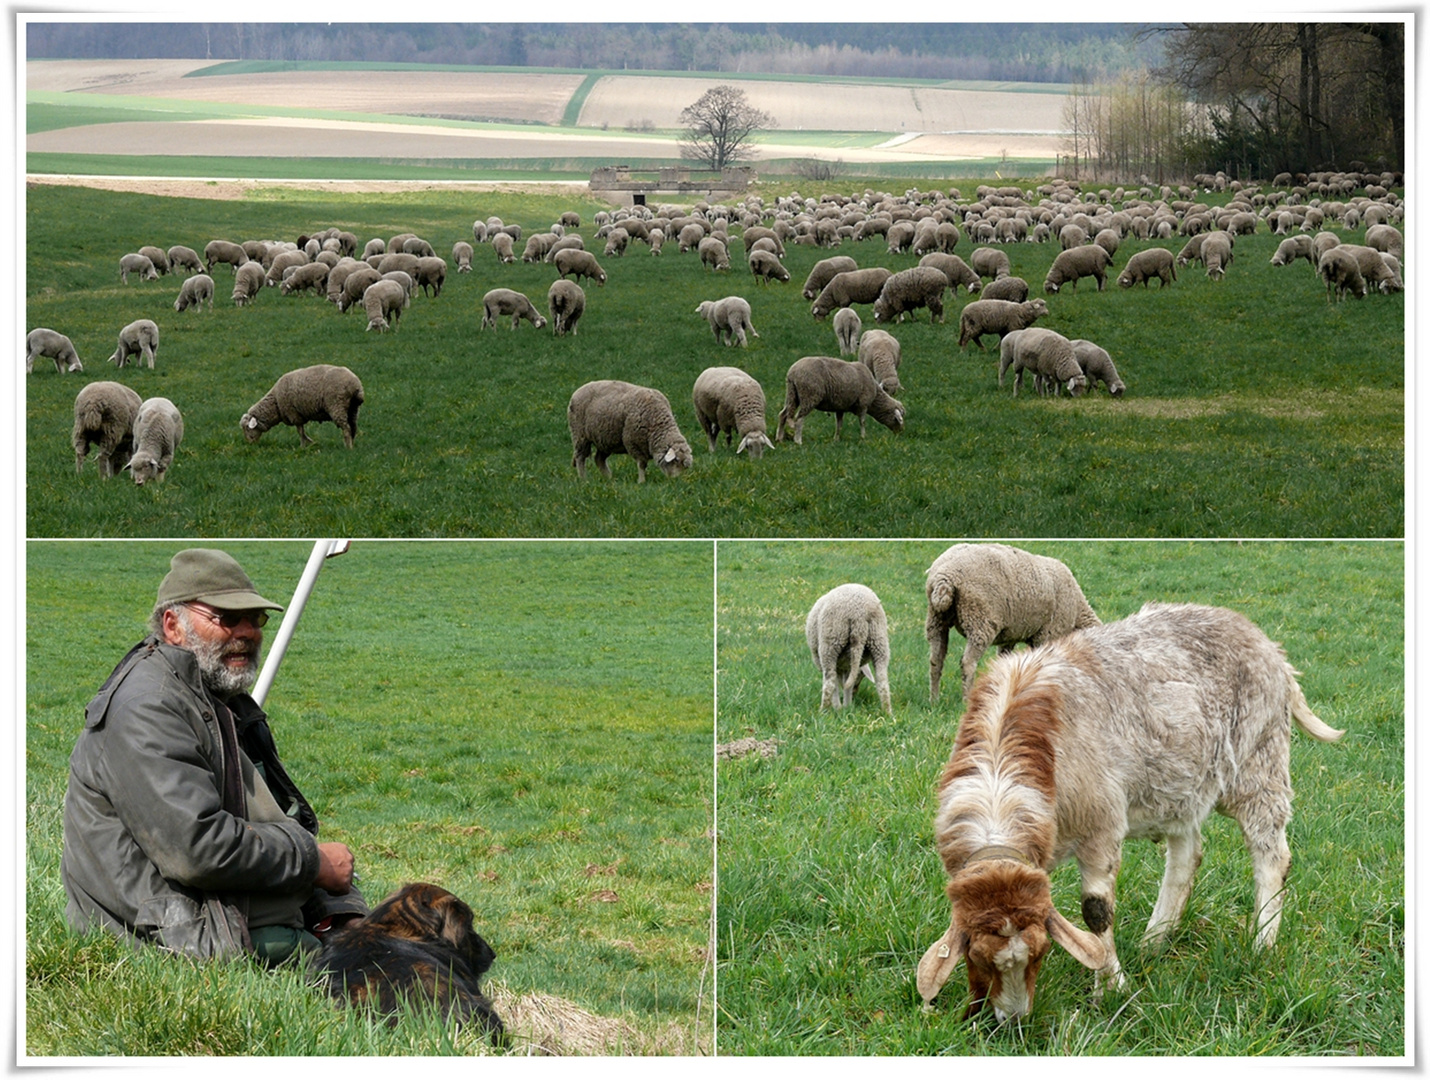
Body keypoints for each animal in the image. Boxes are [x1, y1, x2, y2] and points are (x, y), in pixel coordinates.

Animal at [563, 377, 692, 483]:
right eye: (676, 461)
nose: (675, 481)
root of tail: (578, 390)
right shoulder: (633, 442)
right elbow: (642, 464)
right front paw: (641, 481)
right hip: (580, 435)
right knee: (580, 457)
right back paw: (583, 479)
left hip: (605, 439)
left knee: (599, 459)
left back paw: (609, 478)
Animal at [806, 583, 892, 718]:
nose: (856, 692)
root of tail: (859, 615)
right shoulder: (846, 666)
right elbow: (847, 685)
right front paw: (846, 707)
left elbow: (836, 684)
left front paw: (838, 707)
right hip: (878, 639)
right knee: (882, 681)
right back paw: (887, 712)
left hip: (831, 641)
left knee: (829, 682)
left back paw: (824, 710)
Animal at [920, 543, 1098, 706]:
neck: (1078, 612)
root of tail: (945, 576)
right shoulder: (1048, 633)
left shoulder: (1010, 637)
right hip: (980, 619)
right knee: (967, 663)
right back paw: (966, 700)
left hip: (936, 618)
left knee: (935, 660)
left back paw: (933, 700)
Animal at [920, 603, 1344, 1018]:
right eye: (976, 957)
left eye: (1041, 952)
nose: (1014, 1020)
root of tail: (1270, 648)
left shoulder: (1101, 826)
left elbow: (1096, 911)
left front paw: (1109, 988)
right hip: (1183, 785)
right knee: (1188, 855)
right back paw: (1154, 940)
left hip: (1259, 761)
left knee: (1272, 854)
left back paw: (1261, 941)